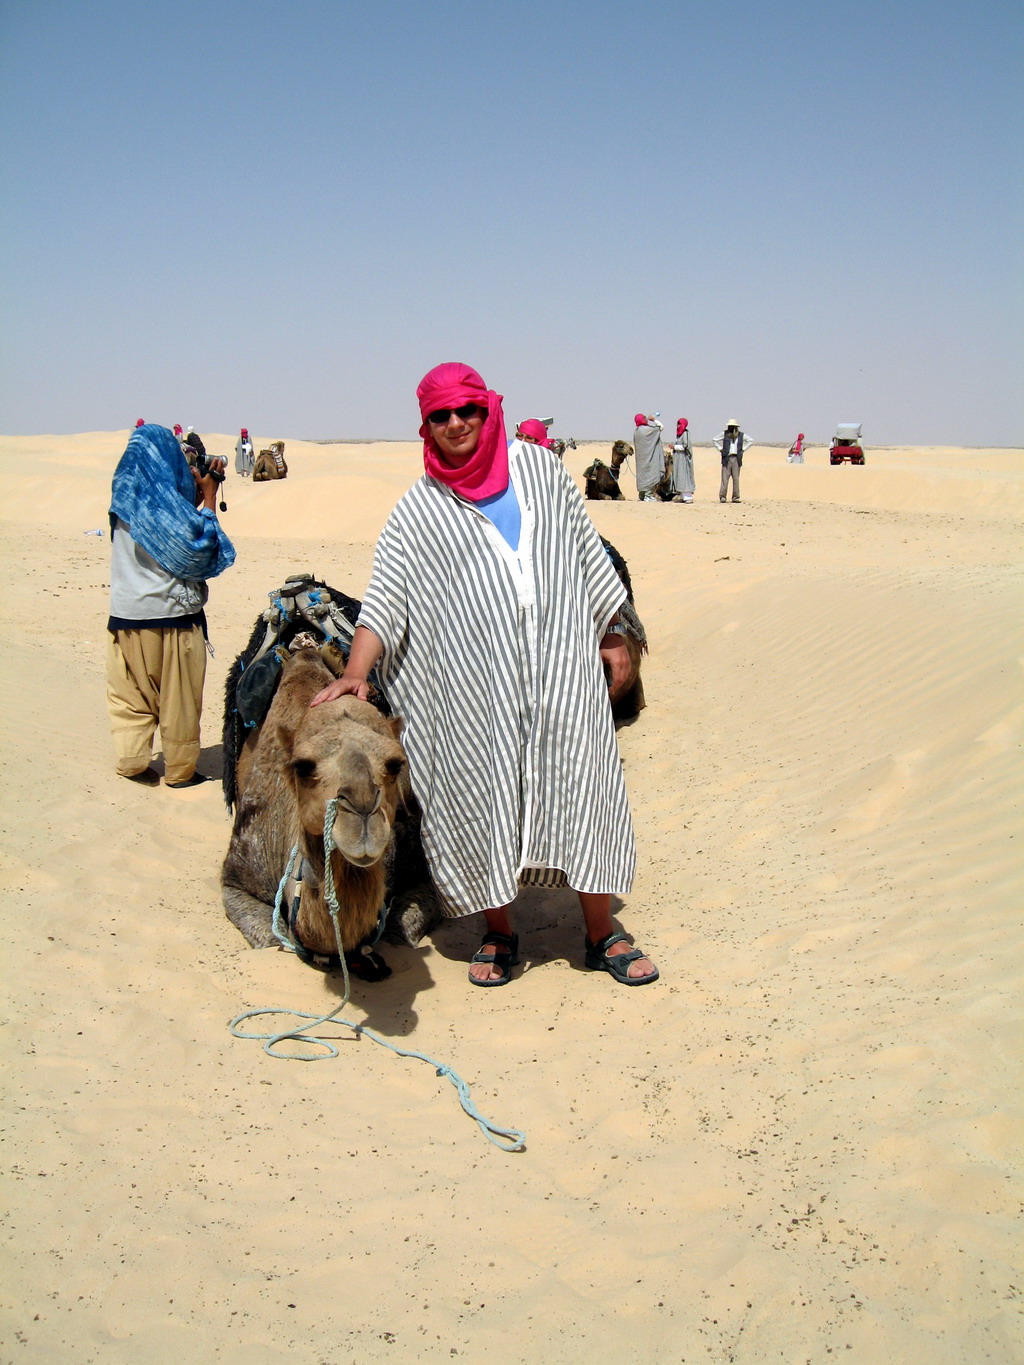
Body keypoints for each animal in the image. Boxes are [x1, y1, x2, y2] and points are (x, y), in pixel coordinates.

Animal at [223, 647, 442, 977]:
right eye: (302, 766)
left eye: (395, 764)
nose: (361, 809)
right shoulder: (237, 878)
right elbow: (270, 939)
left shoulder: (418, 868)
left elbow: (398, 932)